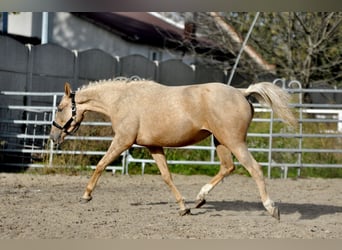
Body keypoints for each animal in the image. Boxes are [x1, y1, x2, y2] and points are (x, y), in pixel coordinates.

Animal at [48, 79, 296, 220]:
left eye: (59, 108)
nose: (53, 137)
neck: (121, 100)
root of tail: (242, 93)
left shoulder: (123, 141)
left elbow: (100, 165)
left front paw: (86, 195)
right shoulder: (154, 146)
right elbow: (167, 177)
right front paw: (183, 208)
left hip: (234, 141)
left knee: (254, 169)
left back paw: (271, 208)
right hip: (220, 141)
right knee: (228, 167)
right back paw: (199, 198)